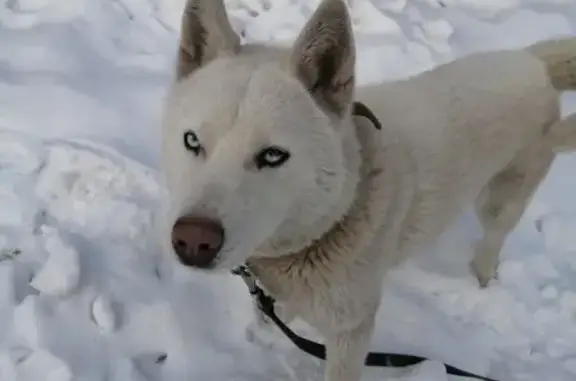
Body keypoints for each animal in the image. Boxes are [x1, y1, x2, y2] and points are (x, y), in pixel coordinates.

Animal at [160, 0, 576, 378]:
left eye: (273, 155)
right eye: (192, 141)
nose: (193, 241)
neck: (341, 209)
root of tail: (532, 62)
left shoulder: (352, 331)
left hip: (502, 199)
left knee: (493, 237)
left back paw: (482, 279)